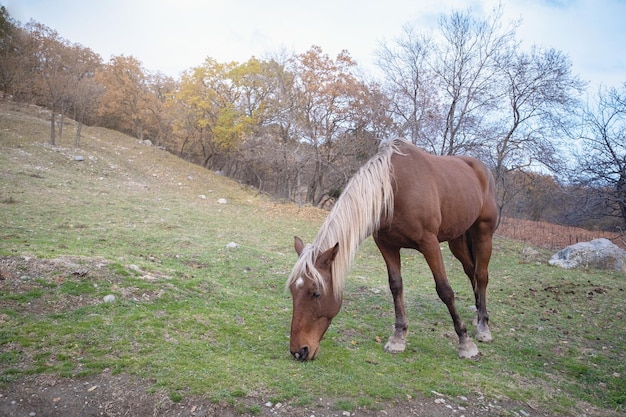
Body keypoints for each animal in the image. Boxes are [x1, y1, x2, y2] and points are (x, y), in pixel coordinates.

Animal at [286, 138, 494, 360]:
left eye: (316, 293)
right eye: (293, 291)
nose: (299, 351)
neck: (393, 189)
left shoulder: (429, 243)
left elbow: (444, 290)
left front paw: (465, 342)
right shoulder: (386, 245)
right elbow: (396, 285)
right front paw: (398, 338)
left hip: (483, 234)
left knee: (481, 276)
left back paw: (483, 326)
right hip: (457, 239)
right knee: (470, 272)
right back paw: (477, 316)